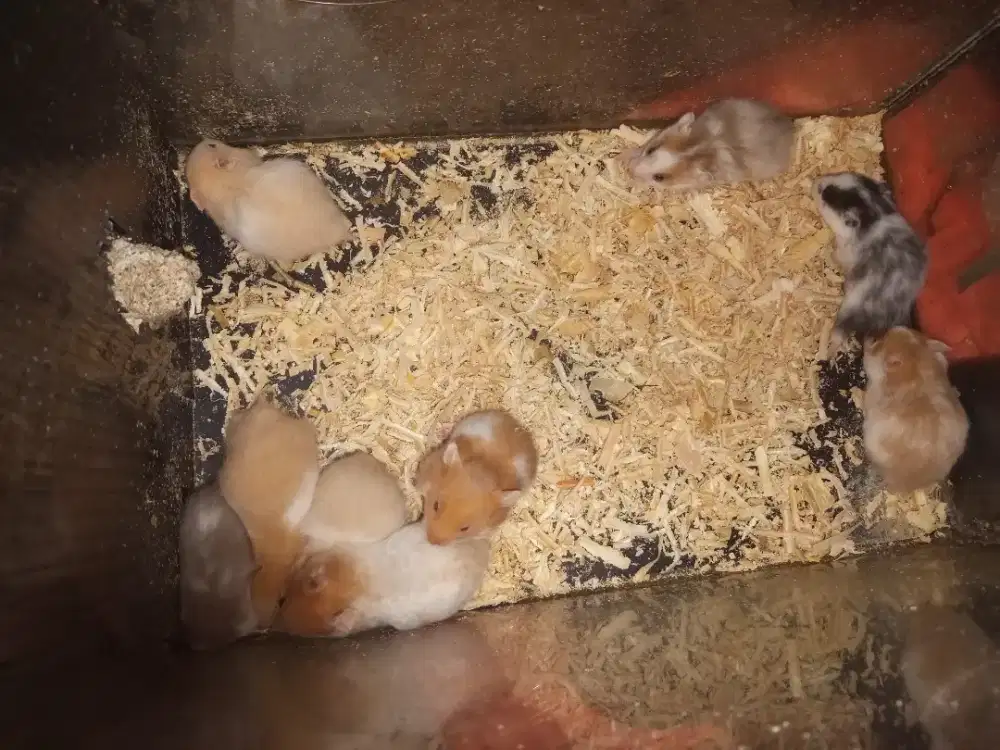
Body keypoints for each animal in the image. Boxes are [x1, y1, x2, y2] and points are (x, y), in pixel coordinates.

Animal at [815, 172, 929, 355]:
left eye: (824, 195)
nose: (816, 181)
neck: (874, 214)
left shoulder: (844, 251)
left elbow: (836, 255)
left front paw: (828, 252)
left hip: (849, 308)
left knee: (839, 333)